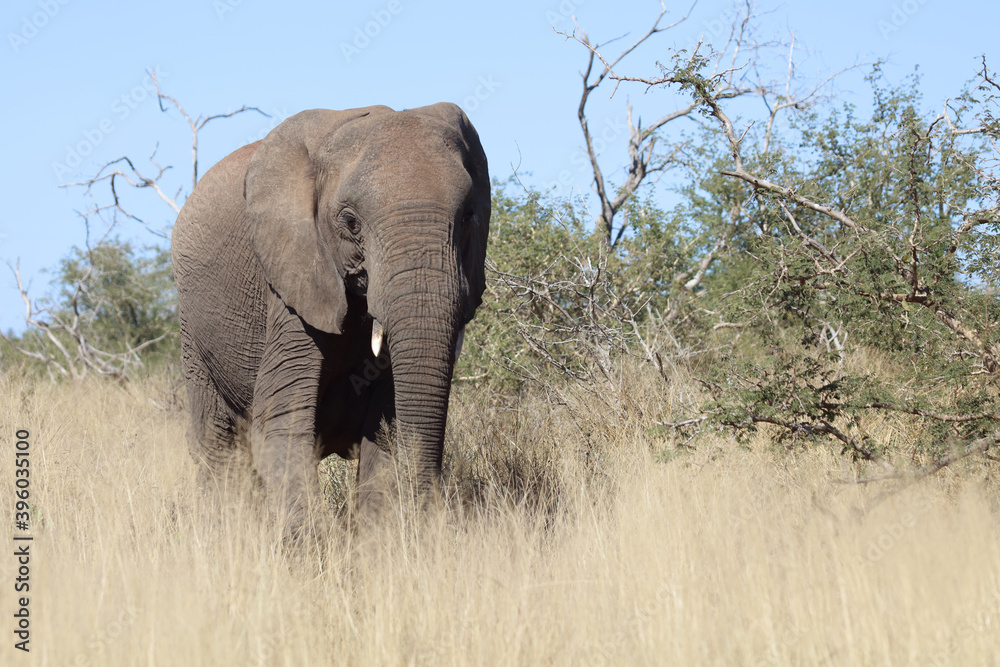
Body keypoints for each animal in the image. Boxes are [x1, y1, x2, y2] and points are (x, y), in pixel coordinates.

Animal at [173, 102, 492, 536]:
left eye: (468, 217)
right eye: (351, 222)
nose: (429, 516)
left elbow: (388, 424)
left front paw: (381, 540)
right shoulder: (293, 279)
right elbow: (283, 415)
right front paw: (309, 547)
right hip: (192, 328)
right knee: (216, 443)